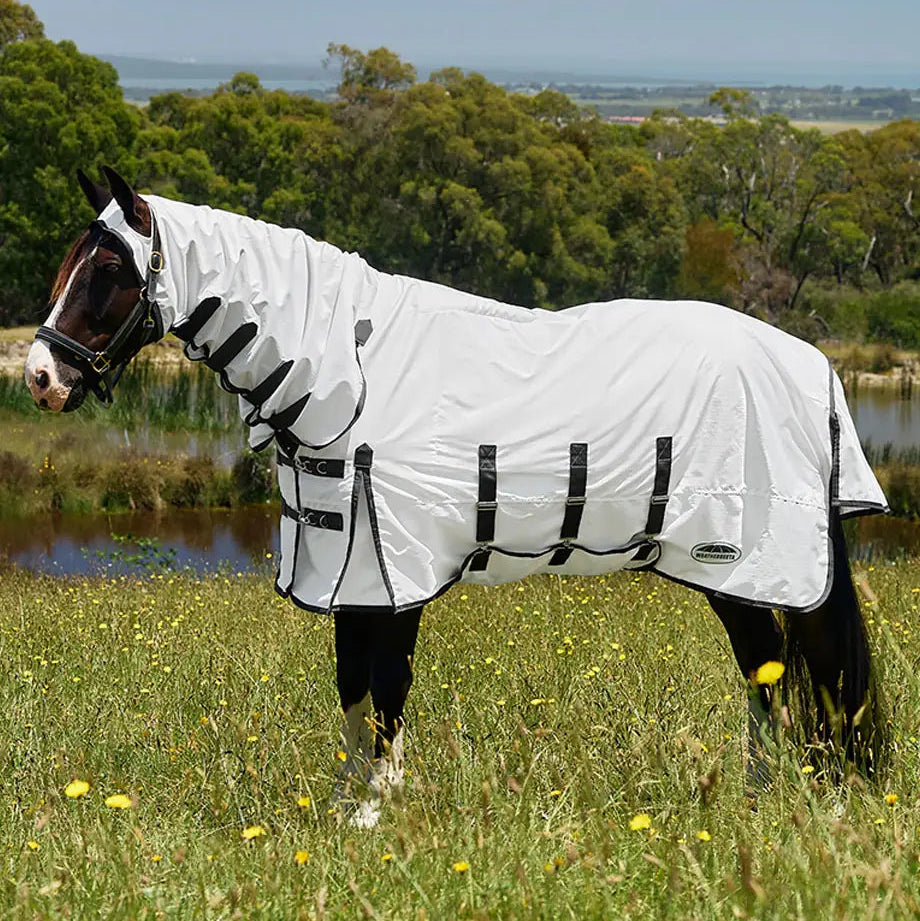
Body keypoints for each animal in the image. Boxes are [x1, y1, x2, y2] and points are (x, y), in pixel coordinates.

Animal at [26, 167, 888, 826]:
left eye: (109, 272)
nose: (40, 377)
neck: (347, 373)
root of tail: (814, 367)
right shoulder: (345, 572)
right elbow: (352, 688)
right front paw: (349, 806)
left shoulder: (391, 572)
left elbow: (386, 689)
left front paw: (378, 809)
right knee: (770, 678)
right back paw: (766, 796)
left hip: (752, 566)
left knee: (797, 675)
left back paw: (812, 799)